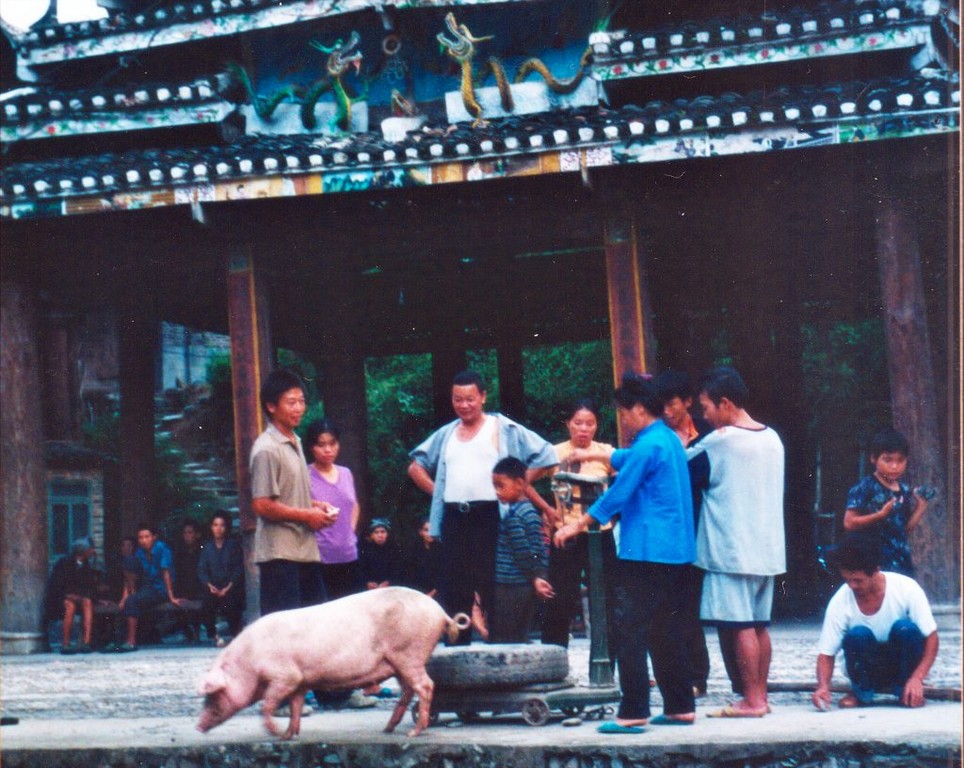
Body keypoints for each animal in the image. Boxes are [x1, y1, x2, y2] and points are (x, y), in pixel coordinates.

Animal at [197, 588, 470, 736]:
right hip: (401, 662)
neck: (249, 660)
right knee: (408, 690)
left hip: (409, 653)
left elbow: (268, 705)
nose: (198, 727)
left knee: (425, 686)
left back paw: (414, 732)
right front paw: (289, 735)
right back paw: (387, 729)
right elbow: (295, 705)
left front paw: (275, 733)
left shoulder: (285, 675)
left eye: (213, 695)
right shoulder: (300, 680)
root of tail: (441, 613)